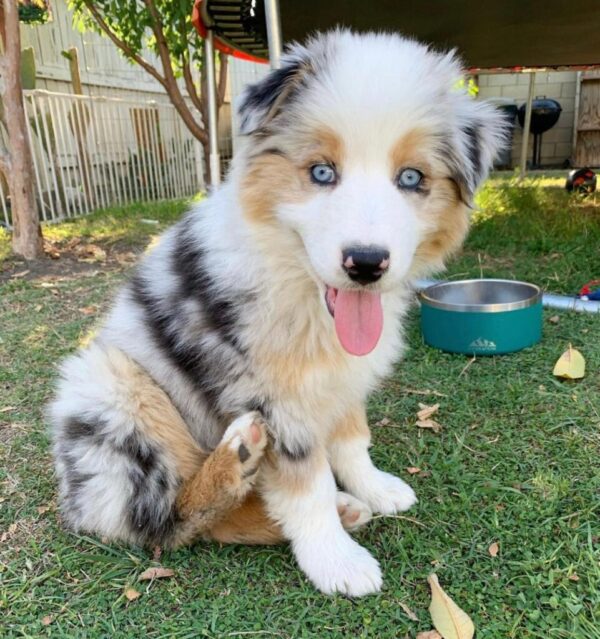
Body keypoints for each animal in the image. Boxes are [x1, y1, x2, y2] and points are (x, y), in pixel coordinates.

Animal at [49, 30, 504, 596]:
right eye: (322, 173)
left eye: (411, 178)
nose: (366, 263)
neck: (301, 286)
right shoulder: (271, 396)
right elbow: (305, 489)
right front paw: (336, 561)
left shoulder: (341, 374)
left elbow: (352, 438)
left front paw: (374, 488)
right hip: (109, 387)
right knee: (167, 519)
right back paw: (239, 460)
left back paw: (343, 505)